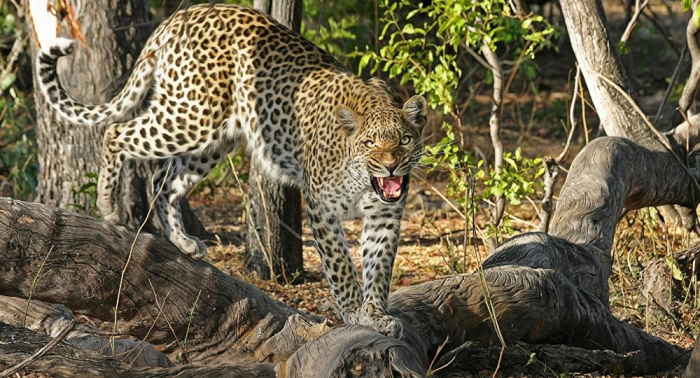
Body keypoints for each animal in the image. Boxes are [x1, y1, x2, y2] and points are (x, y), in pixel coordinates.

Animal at [31, 2, 426, 336]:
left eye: (405, 140)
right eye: (370, 143)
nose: (391, 166)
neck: (364, 181)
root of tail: (180, 16)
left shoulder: (385, 216)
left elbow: (379, 267)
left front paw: (376, 315)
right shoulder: (321, 208)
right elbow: (341, 266)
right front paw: (354, 312)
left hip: (214, 139)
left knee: (163, 179)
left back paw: (183, 241)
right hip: (190, 117)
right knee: (116, 133)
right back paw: (109, 205)